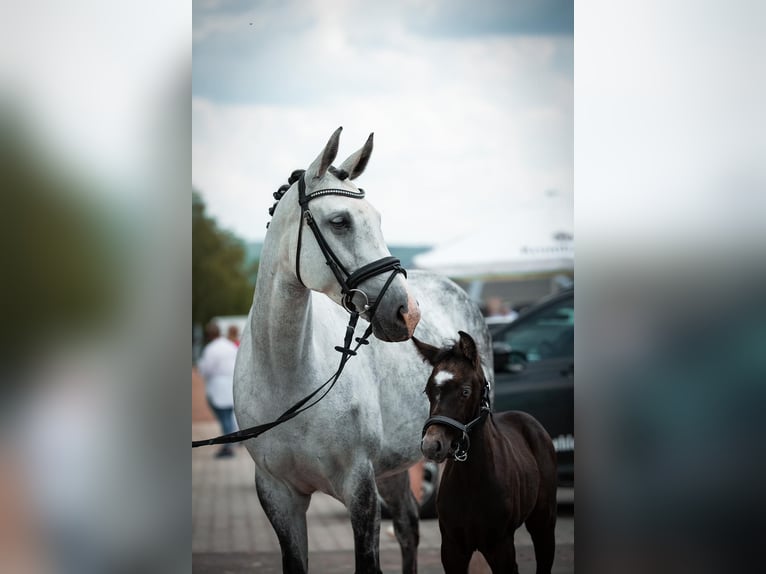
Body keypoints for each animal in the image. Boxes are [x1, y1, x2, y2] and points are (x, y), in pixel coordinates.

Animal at [233, 127, 492, 574]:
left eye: (378, 218)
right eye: (340, 221)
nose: (408, 312)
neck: (289, 377)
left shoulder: (360, 489)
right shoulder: (278, 495)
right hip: (395, 466)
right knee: (407, 527)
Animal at [413, 331, 557, 574]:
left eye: (465, 391)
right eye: (428, 391)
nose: (432, 445)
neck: (472, 480)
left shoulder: (501, 546)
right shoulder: (452, 550)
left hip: (544, 522)